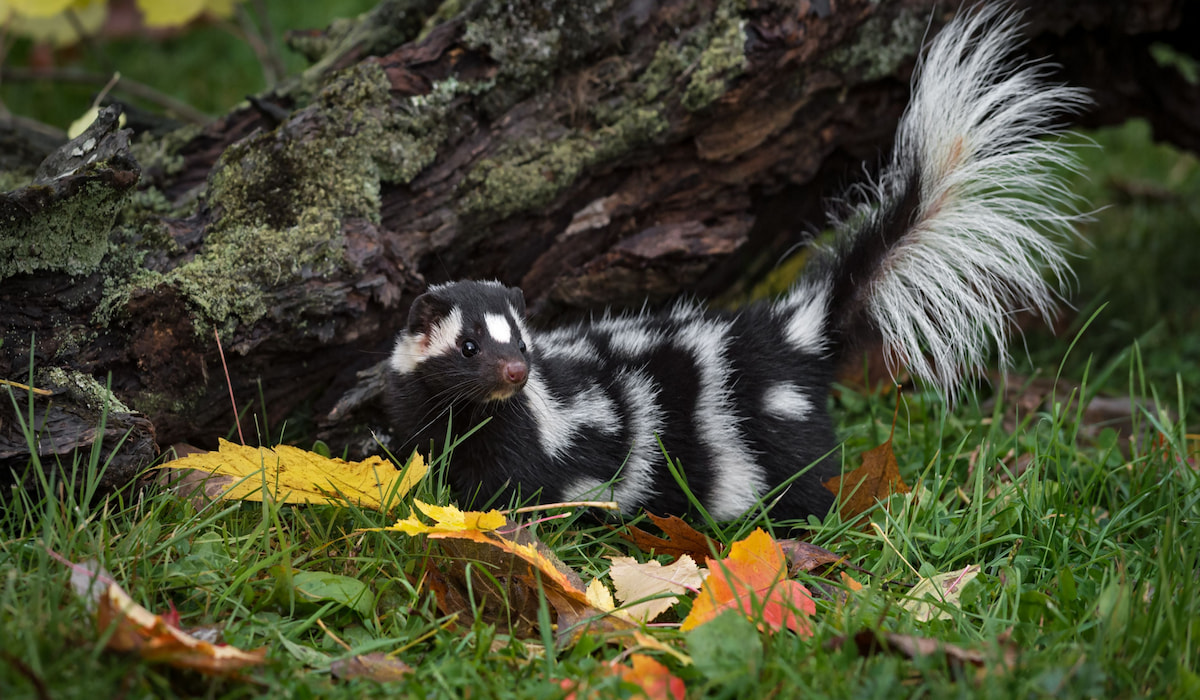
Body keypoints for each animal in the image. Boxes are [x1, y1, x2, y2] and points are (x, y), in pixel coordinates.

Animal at [384, 4, 1089, 521]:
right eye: (469, 346)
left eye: (521, 345)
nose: (514, 373)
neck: (478, 412)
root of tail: (793, 329)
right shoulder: (427, 413)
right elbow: (425, 460)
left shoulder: (535, 438)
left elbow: (518, 491)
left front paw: (493, 521)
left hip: (772, 431)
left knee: (803, 481)